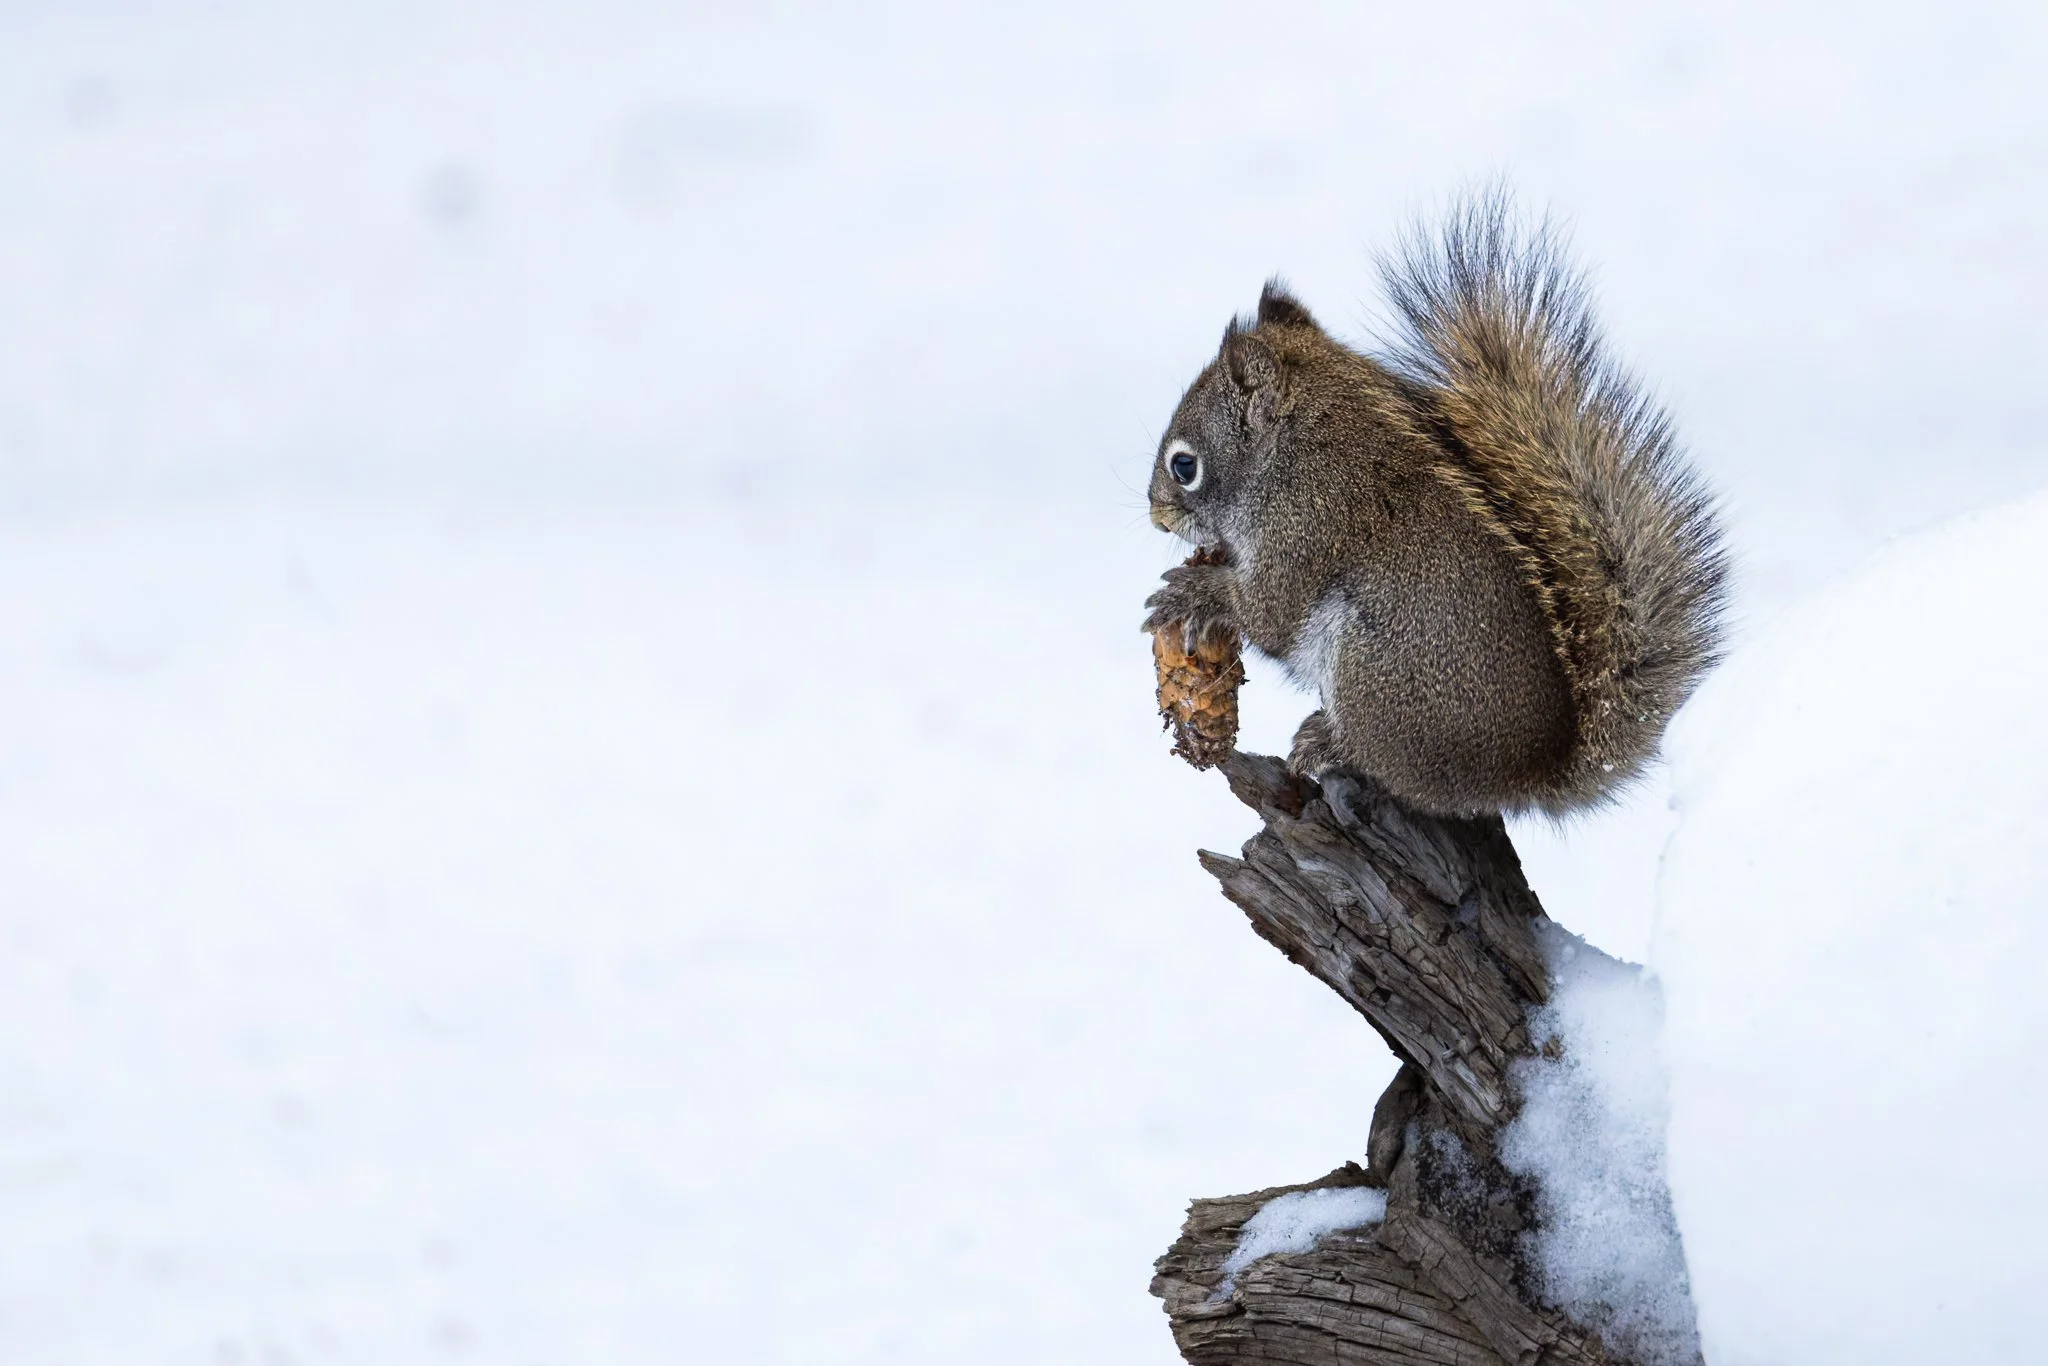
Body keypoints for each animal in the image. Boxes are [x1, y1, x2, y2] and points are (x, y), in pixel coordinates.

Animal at [1140, 195, 1729, 818]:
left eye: (1185, 466)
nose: (1158, 518)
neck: (1292, 451)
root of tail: (1521, 776)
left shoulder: (1306, 528)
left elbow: (1267, 611)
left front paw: (1192, 592)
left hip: (1372, 669)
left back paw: (1328, 742)